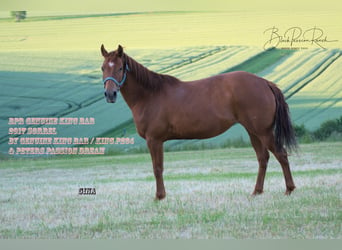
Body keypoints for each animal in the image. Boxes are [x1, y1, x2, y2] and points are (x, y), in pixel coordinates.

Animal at [101, 44, 296, 199]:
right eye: (103, 68)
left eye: (120, 68)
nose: (110, 94)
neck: (150, 94)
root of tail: (264, 82)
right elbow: (159, 168)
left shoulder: (154, 140)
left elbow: (157, 168)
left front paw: (159, 196)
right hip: (253, 131)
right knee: (263, 158)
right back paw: (257, 191)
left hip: (264, 132)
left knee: (281, 155)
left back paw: (289, 189)